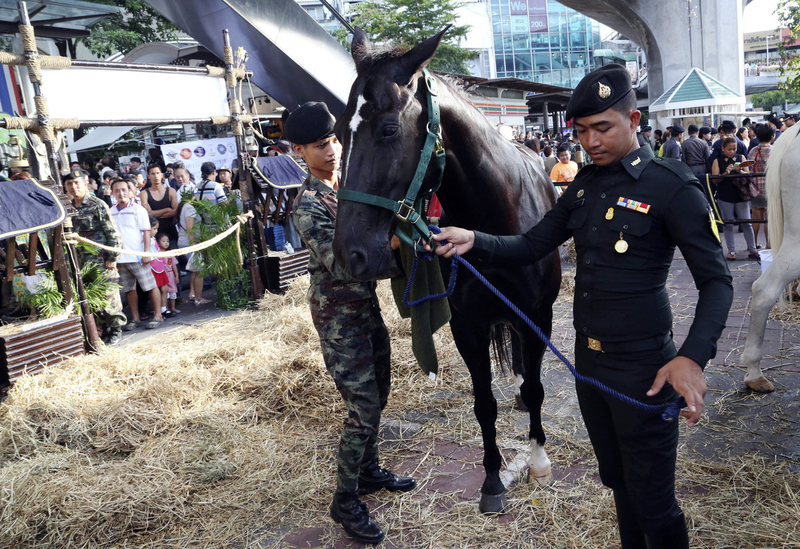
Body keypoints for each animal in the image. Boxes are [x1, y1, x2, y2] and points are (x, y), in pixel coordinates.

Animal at [332, 27, 564, 512]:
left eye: (388, 129)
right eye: (341, 131)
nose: (350, 253)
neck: (497, 219)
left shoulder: (537, 317)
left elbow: (536, 390)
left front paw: (538, 461)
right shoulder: (467, 326)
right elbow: (483, 404)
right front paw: (492, 480)